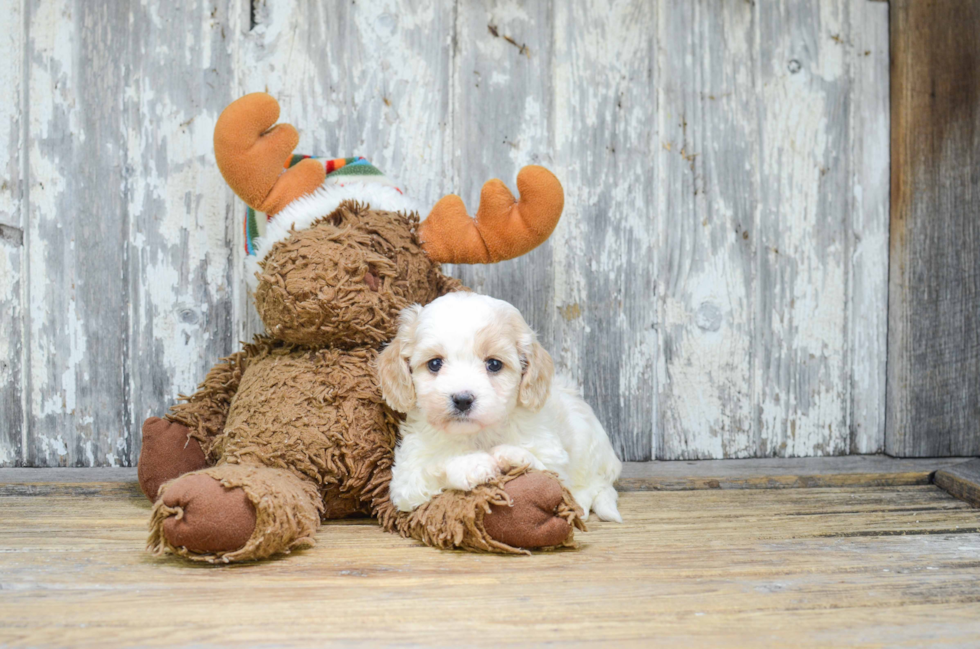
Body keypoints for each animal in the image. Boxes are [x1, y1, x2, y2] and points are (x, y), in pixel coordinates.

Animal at [376, 292, 620, 520]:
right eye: (434, 364)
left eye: (494, 364)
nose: (462, 399)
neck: (479, 434)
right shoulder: (405, 479)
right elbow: (434, 466)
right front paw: (471, 464)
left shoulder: (553, 456)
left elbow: (546, 471)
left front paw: (513, 456)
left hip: (588, 444)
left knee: (594, 486)